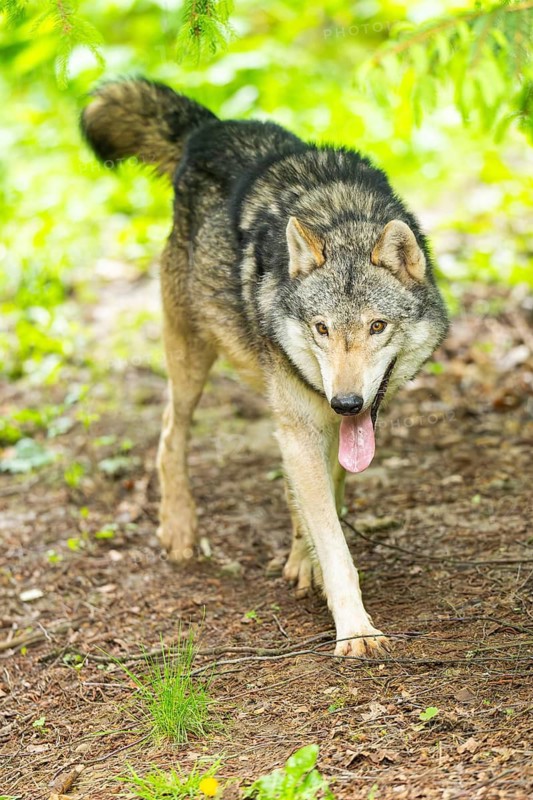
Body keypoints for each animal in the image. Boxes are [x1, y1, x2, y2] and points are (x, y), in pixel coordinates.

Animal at [82, 78, 448, 657]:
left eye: (376, 326)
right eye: (322, 329)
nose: (346, 401)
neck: (341, 219)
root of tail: (211, 126)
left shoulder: (329, 427)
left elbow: (326, 502)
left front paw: (305, 561)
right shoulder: (302, 425)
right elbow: (335, 542)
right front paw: (356, 630)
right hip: (191, 357)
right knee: (169, 432)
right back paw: (179, 528)